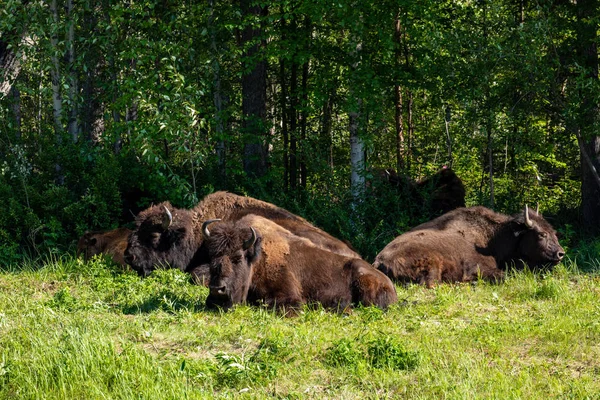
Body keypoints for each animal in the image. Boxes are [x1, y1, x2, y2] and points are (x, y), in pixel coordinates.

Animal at [202, 216, 398, 312]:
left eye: (238, 258)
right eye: (211, 257)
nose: (217, 289)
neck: (257, 261)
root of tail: (390, 285)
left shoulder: (289, 297)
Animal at [372, 205, 564, 286]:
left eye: (554, 232)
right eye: (541, 234)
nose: (561, 254)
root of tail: (378, 260)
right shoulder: (480, 268)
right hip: (433, 264)